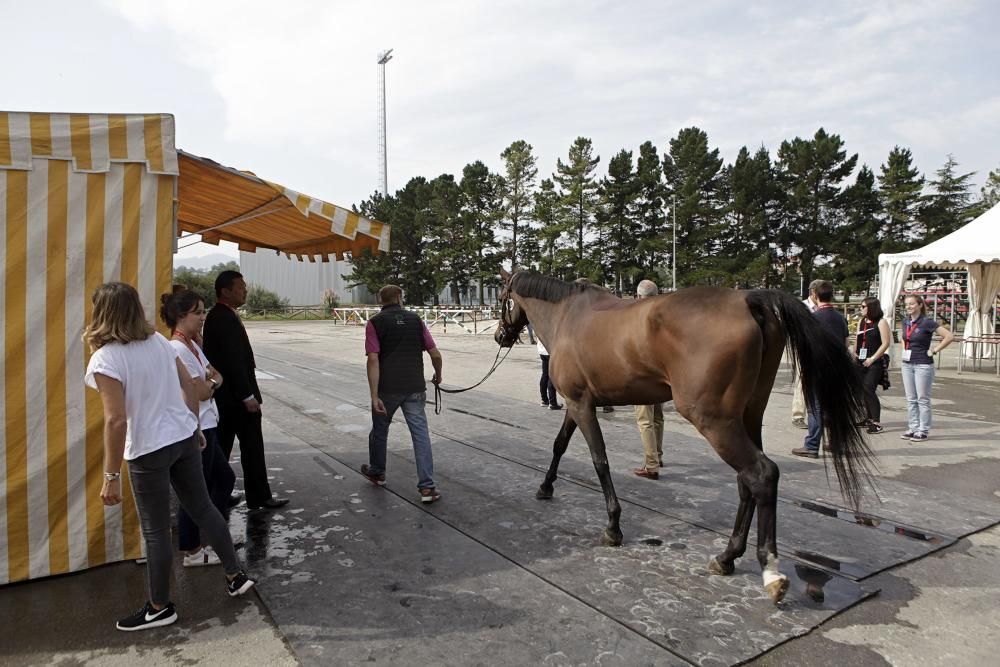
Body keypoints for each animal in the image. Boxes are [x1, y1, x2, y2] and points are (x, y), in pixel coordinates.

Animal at [496, 268, 872, 604]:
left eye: (501, 298)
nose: (500, 336)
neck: (567, 316)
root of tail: (750, 299)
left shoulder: (579, 403)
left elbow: (599, 460)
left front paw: (613, 526)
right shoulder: (577, 405)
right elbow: (559, 445)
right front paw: (546, 487)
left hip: (713, 420)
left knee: (762, 474)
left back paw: (771, 572)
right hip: (747, 416)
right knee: (747, 480)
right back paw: (727, 557)